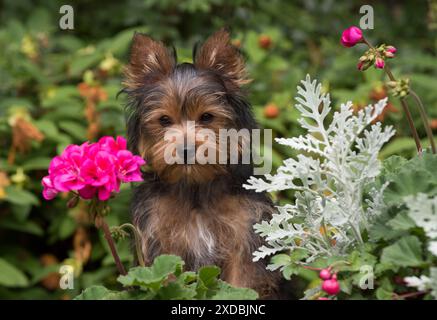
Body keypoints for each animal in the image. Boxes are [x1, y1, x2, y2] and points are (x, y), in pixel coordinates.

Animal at [122, 29, 280, 298]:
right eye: (164, 120)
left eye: (207, 117)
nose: (185, 150)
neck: (195, 185)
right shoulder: (160, 242)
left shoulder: (245, 239)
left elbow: (242, 283)